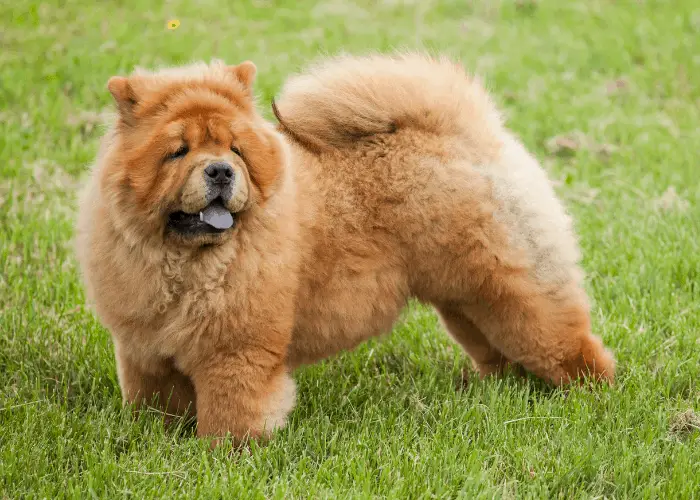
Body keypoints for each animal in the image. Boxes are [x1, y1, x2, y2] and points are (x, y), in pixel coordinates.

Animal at [74, 52, 616, 444]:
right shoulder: (144, 348)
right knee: (497, 351)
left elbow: (231, 413)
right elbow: (153, 403)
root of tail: (470, 134)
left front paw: (222, 456)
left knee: (571, 346)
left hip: (517, 296)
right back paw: (500, 392)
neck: (182, 262)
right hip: (467, 303)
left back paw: (594, 400)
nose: (221, 171)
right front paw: (154, 441)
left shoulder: (236, 351)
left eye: (235, 149)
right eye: (178, 152)